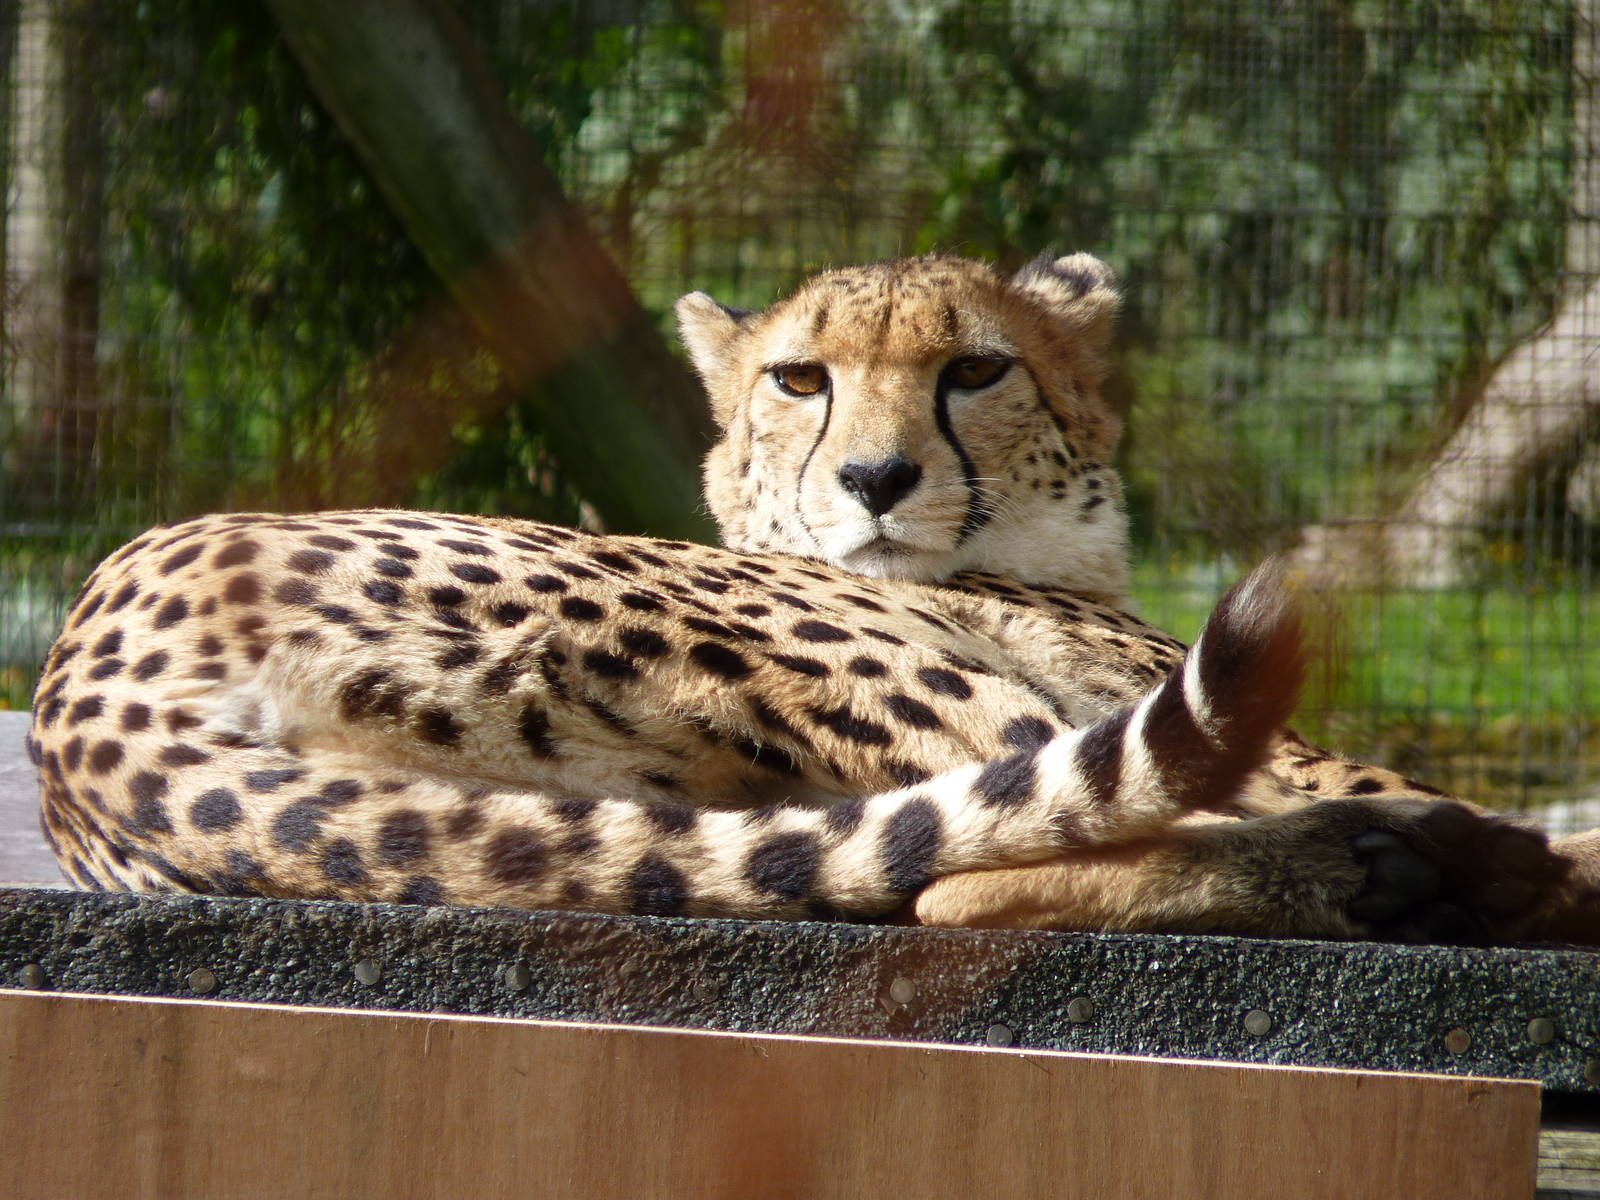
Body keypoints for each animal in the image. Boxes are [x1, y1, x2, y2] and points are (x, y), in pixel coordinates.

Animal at [26, 251, 1600, 943]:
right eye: (800, 378)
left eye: (976, 369)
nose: (876, 478)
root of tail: (78, 701)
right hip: (904, 680)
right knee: (964, 870)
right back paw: (1420, 864)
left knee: (930, 874)